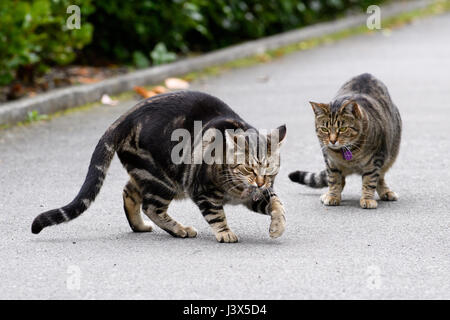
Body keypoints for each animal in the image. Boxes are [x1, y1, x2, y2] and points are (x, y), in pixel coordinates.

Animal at [31, 91, 286, 244]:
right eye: (248, 169)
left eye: (269, 169)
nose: (261, 181)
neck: (239, 189)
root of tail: (122, 119)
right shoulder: (202, 190)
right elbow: (216, 214)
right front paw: (225, 233)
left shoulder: (259, 194)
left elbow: (277, 204)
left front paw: (277, 225)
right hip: (163, 179)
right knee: (151, 207)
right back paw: (180, 229)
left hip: (146, 173)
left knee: (129, 193)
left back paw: (140, 226)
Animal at [290, 73, 402, 209]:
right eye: (324, 129)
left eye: (343, 129)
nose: (332, 141)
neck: (348, 153)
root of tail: (365, 74)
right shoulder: (331, 162)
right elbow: (334, 180)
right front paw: (332, 196)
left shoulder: (375, 160)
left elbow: (370, 181)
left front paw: (367, 199)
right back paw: (327, 194)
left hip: (390, 156)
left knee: (380, 177)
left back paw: (386, 192)